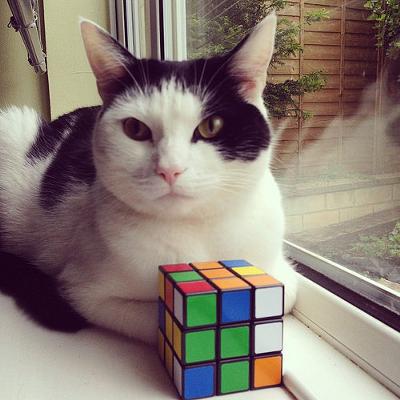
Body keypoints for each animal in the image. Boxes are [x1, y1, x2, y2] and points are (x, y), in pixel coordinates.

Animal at [0, 13, 297, 345]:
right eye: (135, 129)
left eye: (212, 126)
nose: (170, 169)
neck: (195, 230)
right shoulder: (84, 293)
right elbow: (160, 319)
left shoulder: (283, 273)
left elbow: (285, 296)